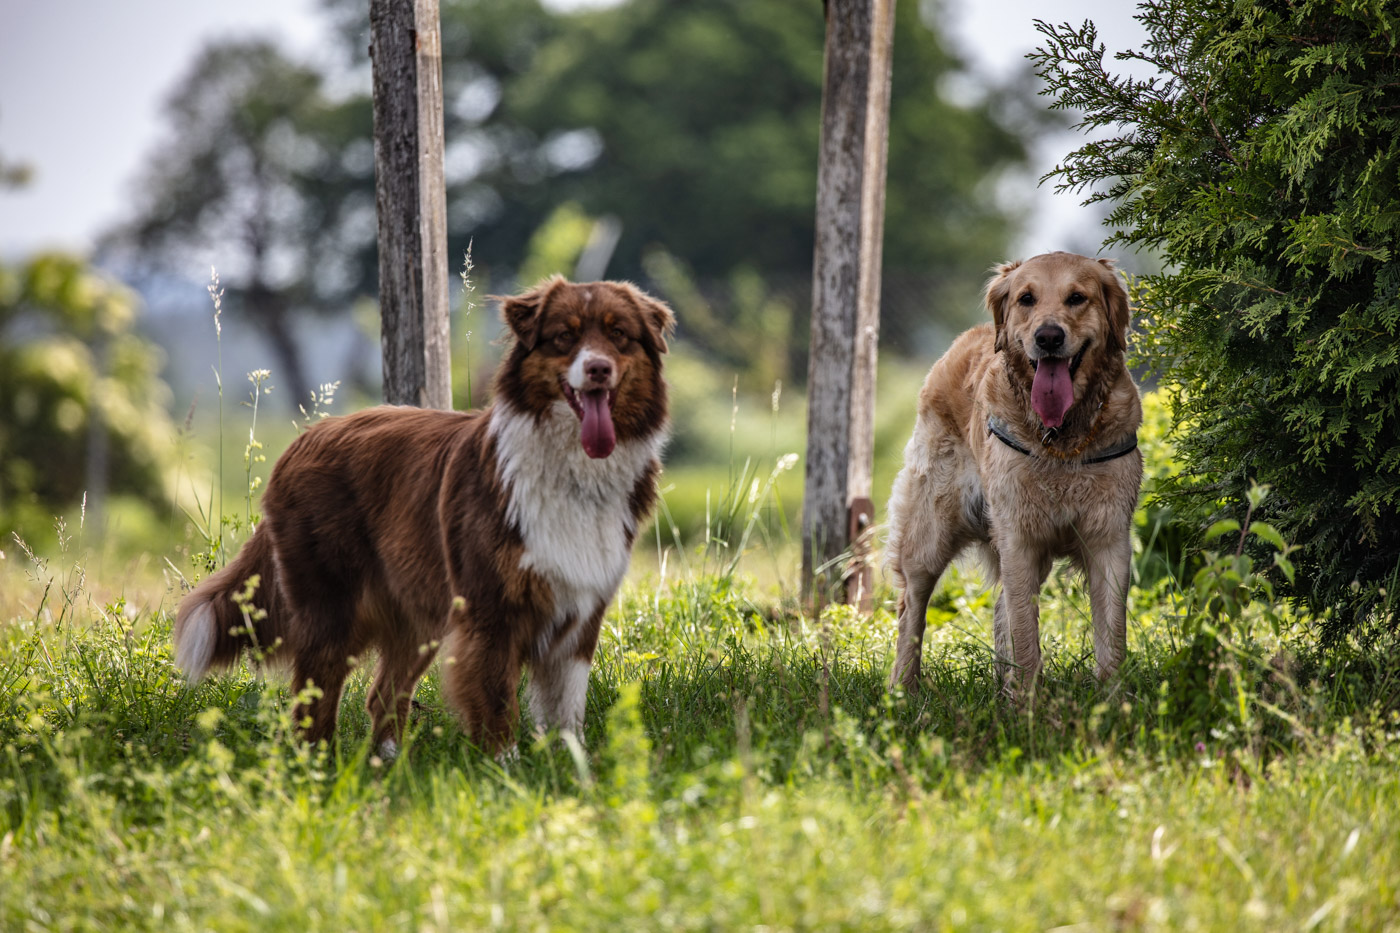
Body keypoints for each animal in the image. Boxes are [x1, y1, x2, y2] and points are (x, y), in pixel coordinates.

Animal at [172, 275, 674, 756]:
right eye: (564, 337)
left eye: (618, 334)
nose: (598, 368)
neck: (572, 467)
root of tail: (305, 437)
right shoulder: (490, 610)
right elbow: (497, 697)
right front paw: (506, 767)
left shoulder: (581, 609)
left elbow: (567, 709)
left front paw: (571, 766)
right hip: (332, 608)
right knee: (314, 697)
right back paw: (317, 766)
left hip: (414, 615)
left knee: (382, 695)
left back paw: (388, 764)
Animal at [890, 252, 1142, 689]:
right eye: (1027, 299)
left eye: (1077, 298)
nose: (1048, 337)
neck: (1061, 439)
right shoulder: (1018, 539)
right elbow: (1025, 634)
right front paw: (1027, 701)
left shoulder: (1109, 540)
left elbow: (1111, 635)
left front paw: (1115, 699)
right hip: (930, 532)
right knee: (912, 605)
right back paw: (902, 687)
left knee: (998, 609)